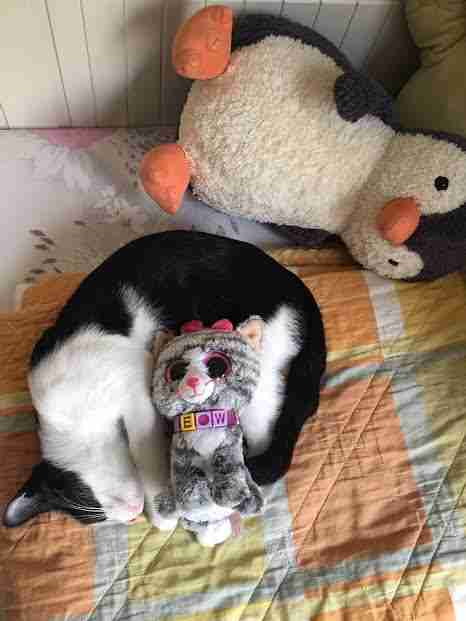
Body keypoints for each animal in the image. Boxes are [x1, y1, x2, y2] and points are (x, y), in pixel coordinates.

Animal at [2, 230, 324, 524]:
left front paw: (160, 512)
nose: (131, 515)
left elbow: (144, 450)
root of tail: (296, 284)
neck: (72, 417)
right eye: (99, 519)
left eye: (89, 504)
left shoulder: (134, 385)